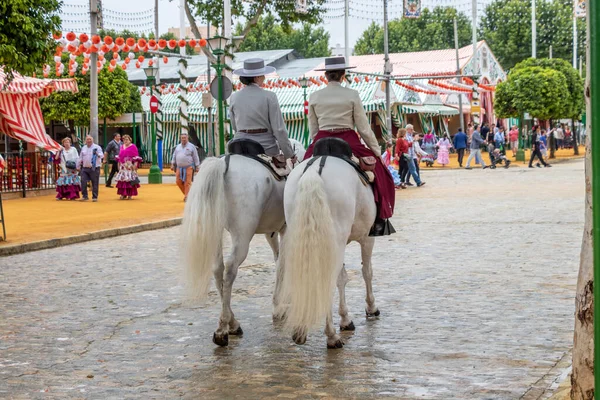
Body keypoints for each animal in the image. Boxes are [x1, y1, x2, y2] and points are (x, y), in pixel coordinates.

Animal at [179, 139, 304, 346]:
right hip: (242, 235)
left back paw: (232, 322)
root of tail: (224, 163)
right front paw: (279, 306)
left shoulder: (271, 233)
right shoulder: (286, 230)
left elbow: (279, 260)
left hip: (218, 230)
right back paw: (222, 328)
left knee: (218, 269)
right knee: (230, 268)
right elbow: (283, 264)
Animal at [276, 155, 380, 348]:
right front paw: (371, 307)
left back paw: (300, 330)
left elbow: (342, 278)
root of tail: (313, 171)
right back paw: (331, 336)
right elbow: (366, 272)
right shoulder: (367, 238)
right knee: (327, 282)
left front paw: (345, 319)